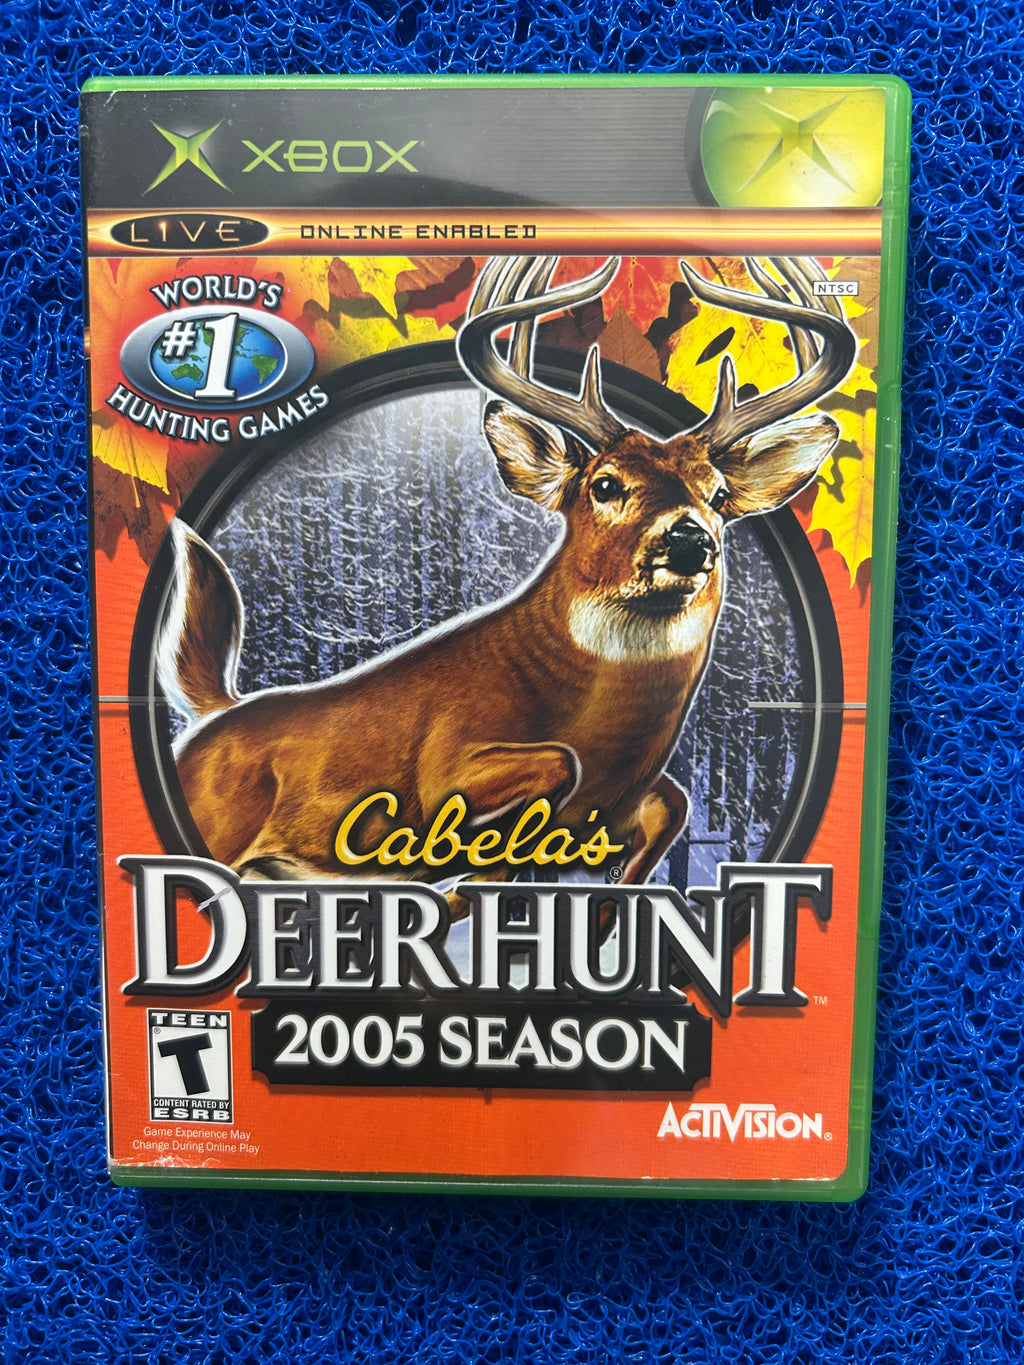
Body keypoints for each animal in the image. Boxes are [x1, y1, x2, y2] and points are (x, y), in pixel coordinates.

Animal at [157, 255, 855, 906]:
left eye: (717, 495)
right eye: (605, 485)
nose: (689, 540)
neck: (609, 743)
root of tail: (217, 718)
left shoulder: (632, 805)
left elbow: (670, 811)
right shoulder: (445, 762)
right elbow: (551, 768)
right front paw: (473, 865)